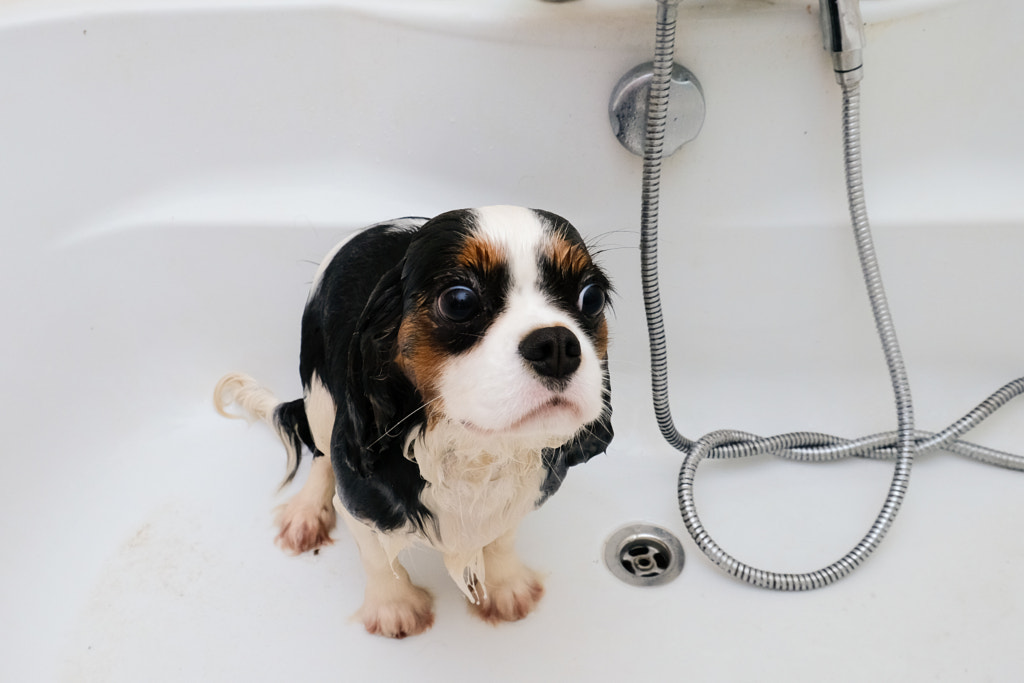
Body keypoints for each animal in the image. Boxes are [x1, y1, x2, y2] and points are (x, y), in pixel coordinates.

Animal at [212, 205, 610, 638]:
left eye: (592, 298)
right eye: (459, 300)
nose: (556, 346)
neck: (473, 447)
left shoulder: (528, 489)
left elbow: (501, 535)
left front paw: (506, 587)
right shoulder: (360, 502)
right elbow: (376, 555)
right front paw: (394, 607)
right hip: (319, 391)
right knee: (320, 454)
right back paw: (306, 512)